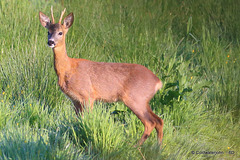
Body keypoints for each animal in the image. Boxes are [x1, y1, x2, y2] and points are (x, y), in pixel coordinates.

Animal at [39, 7, 163, 145]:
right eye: (48, 32)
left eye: (60, 33)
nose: (50, 42)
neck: (68, 69)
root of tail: (158, 82)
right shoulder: (75, 100)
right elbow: (78, 121)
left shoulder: (88, 95)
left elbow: (87, 119)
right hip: (144, 100)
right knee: (159, 121)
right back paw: (158, 147)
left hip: (135, 98)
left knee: (150, 123)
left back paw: (136, 146)